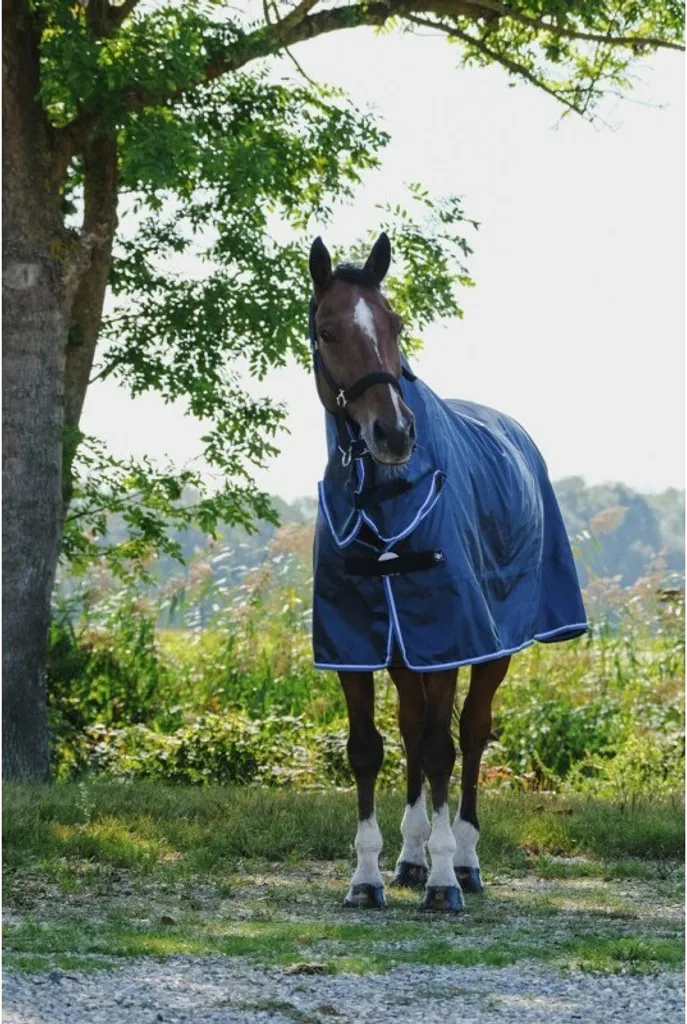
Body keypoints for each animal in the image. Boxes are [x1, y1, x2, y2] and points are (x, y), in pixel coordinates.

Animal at [308, 232, 587, 912]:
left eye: (394, 323)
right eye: (327, 330)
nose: (392, 432)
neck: (383, 497)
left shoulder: (449, 639)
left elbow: (443, 748)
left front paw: (442, 882)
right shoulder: (356, 646)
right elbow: (368, 750)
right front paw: (367, 877)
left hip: (488, 650)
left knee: (470, 733)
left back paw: (462, 860)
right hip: (408, 654)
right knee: (413, 731)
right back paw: (410, 858)